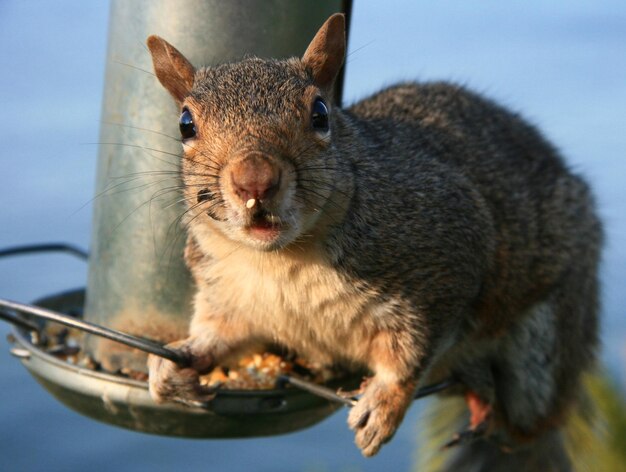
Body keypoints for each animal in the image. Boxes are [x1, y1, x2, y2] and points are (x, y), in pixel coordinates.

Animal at [145, 12, 600, 466]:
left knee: (522, 421)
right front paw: (178, 362)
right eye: (186, 125)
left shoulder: (447, 261)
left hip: (542, 350)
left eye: (320, 113)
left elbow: (412, 352)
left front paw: (385, 404)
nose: (254, 179)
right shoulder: (230, 296)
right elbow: (223, 335)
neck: (283, 259)